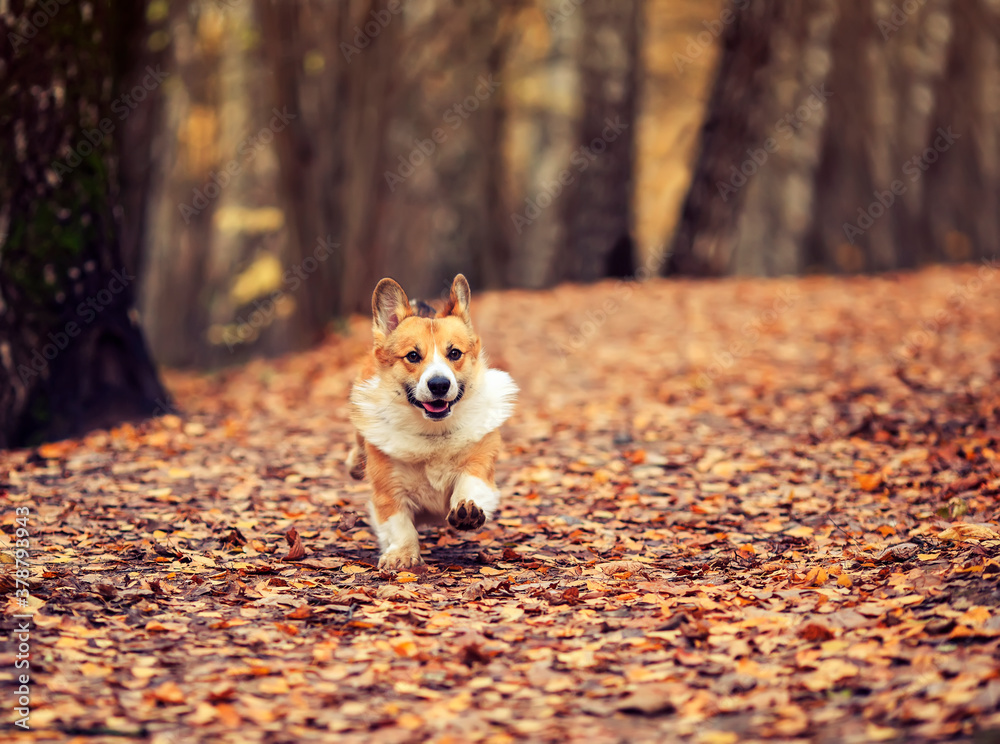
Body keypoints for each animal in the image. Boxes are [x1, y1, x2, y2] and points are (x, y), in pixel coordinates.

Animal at [346, 274, 520, 568]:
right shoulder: (388, 490)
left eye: (455, 354)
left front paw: (467, 511)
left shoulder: (480, 466)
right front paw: (402, 554)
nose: (439, 384)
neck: (434, 433)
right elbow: (399, 524)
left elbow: (470, 485)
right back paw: (355, 465)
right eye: (413, 356)